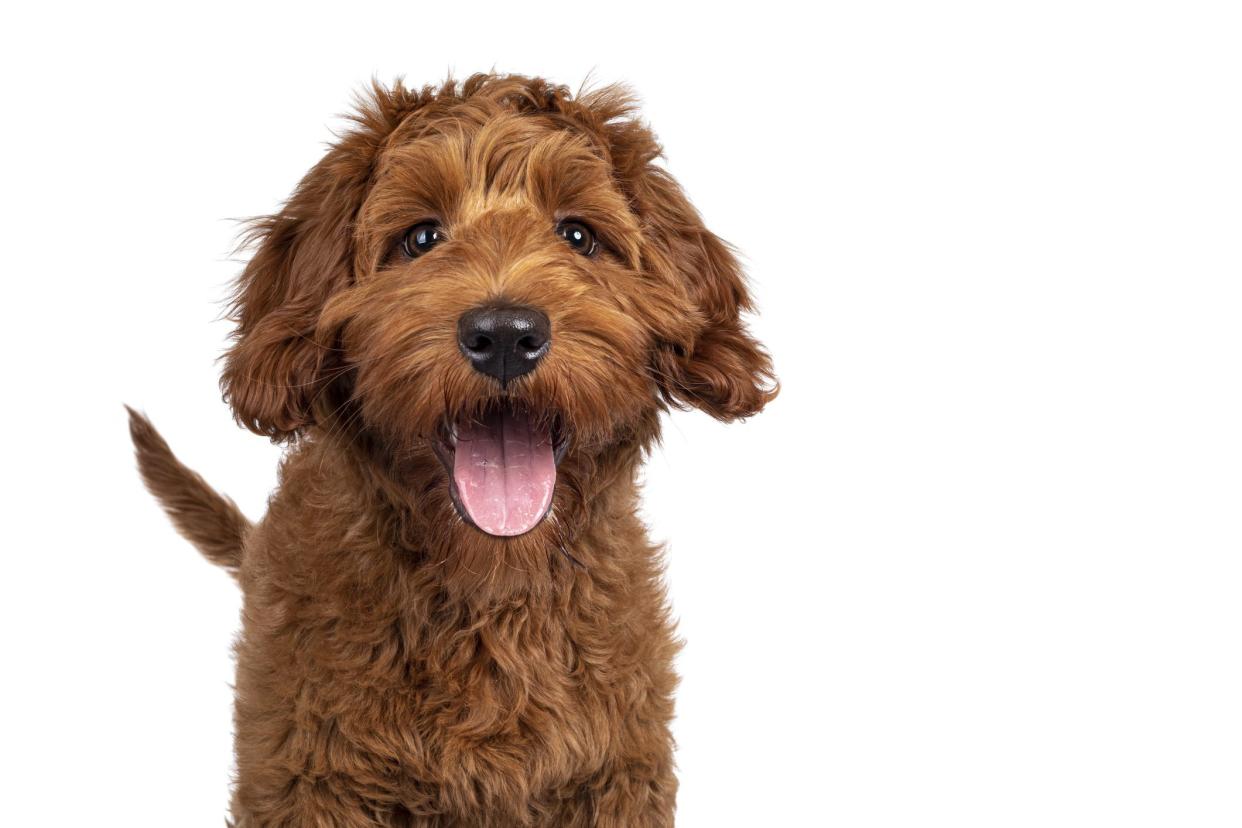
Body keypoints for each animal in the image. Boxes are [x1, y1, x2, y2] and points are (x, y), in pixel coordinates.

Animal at [123, 74, 765, 824]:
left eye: (578, 234)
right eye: (421, 237)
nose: (506, 334)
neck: (489, 593)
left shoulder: (618, 773)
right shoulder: (306, 777)